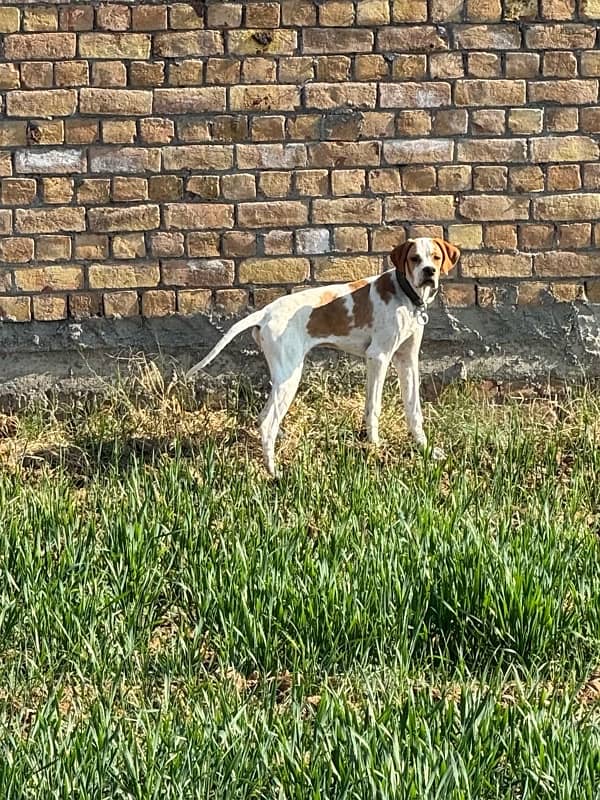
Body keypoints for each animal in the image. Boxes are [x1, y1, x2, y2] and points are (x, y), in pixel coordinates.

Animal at [188, 238, 460, 476]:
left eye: (436, 257)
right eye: (414, 258)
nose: (429, 271)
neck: (405, 295)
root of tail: (265, 313)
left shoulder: (408, 361)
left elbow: (414, 410)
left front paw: (425, 449)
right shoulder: (378, 357)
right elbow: (373, 407)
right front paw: (375, 448)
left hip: (283, 377)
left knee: (265, 417)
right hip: (290, 376)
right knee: (266, 423)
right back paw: (274, 473)